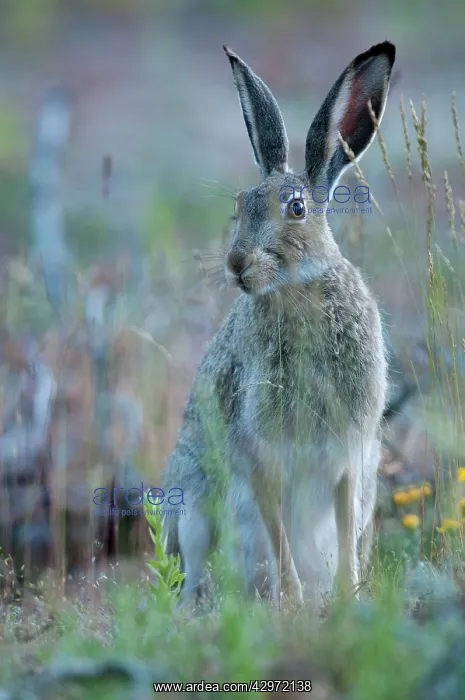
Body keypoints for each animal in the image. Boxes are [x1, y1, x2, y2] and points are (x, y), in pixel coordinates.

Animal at [162, 41, 395, 606]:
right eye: (240, 205)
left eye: (295, 209)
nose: (236, 263)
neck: (296, 291)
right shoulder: (261, 458)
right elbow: (277, 532)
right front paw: (294, 602)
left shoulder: (348, 458)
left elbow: (343, 528)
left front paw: (347, 597)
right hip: (194, 517)